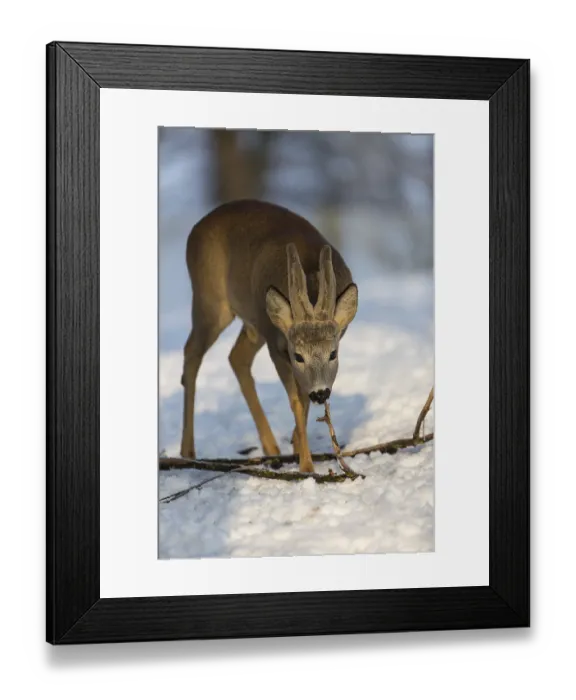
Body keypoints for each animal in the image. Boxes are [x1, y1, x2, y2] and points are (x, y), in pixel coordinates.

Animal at [180, 199, 358, 474]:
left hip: (254, 323)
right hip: (210, 300)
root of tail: (195, 229)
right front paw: (306, 466)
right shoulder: (277, 347)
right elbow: (296, 401)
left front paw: (296, 444)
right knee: (192, 352)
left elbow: (302, 398)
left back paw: (271, 448)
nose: (321, 392)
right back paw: (187, 451)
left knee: (236, 357)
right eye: (298, 355)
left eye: (333, 353)